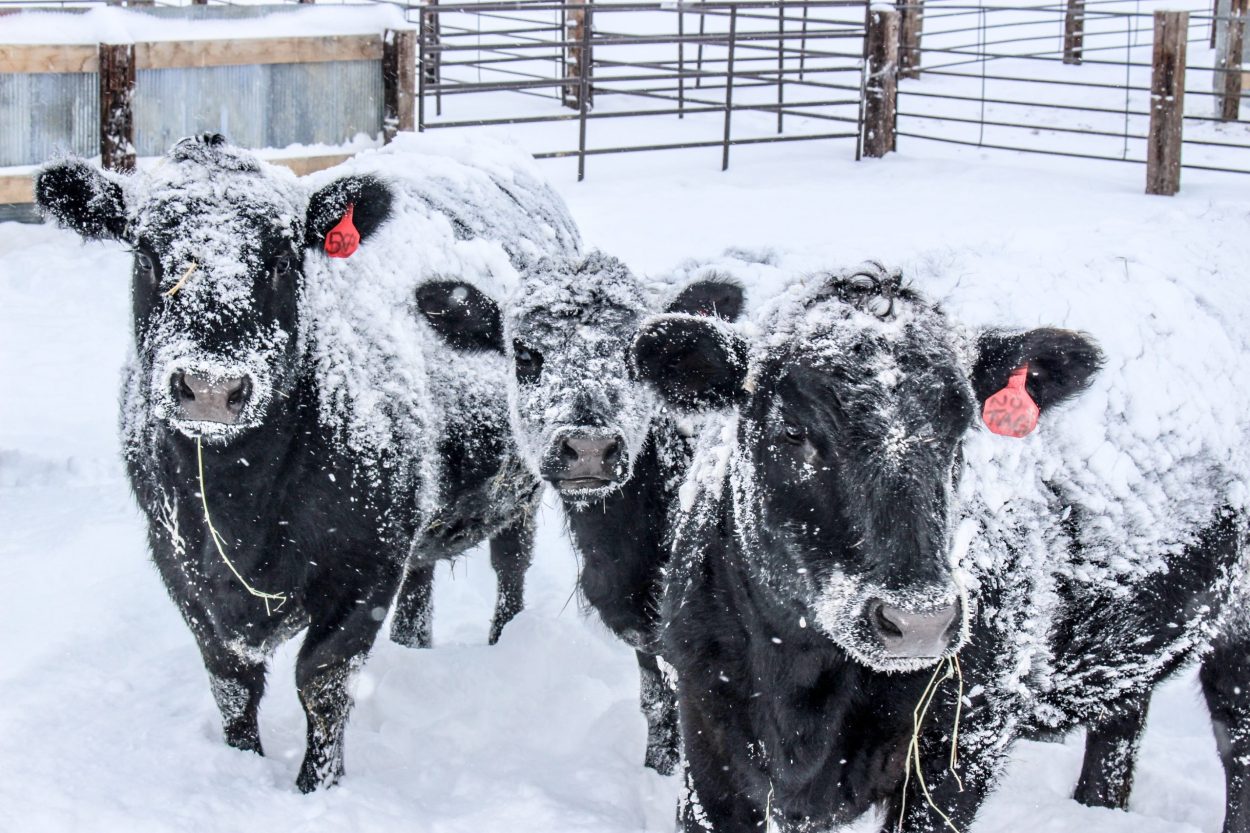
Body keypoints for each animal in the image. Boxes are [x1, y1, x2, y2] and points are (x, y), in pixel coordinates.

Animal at [34, 133, 577, 790]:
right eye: (147, 254)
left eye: (282, 258)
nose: (210, 387)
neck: (240, 507)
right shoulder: (179, 564)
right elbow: (231, 684)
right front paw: (240, 766)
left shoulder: (363, 568)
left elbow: (322, 682)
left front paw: (317, 787)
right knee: (420, 589)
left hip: (522, 488)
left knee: (511, 571)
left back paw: (506, 644)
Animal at [420, 247, 745, 770]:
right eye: (524, 354)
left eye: (636, 355)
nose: (589, 448)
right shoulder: (637, 627)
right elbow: (656, 704)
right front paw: (656, 764)